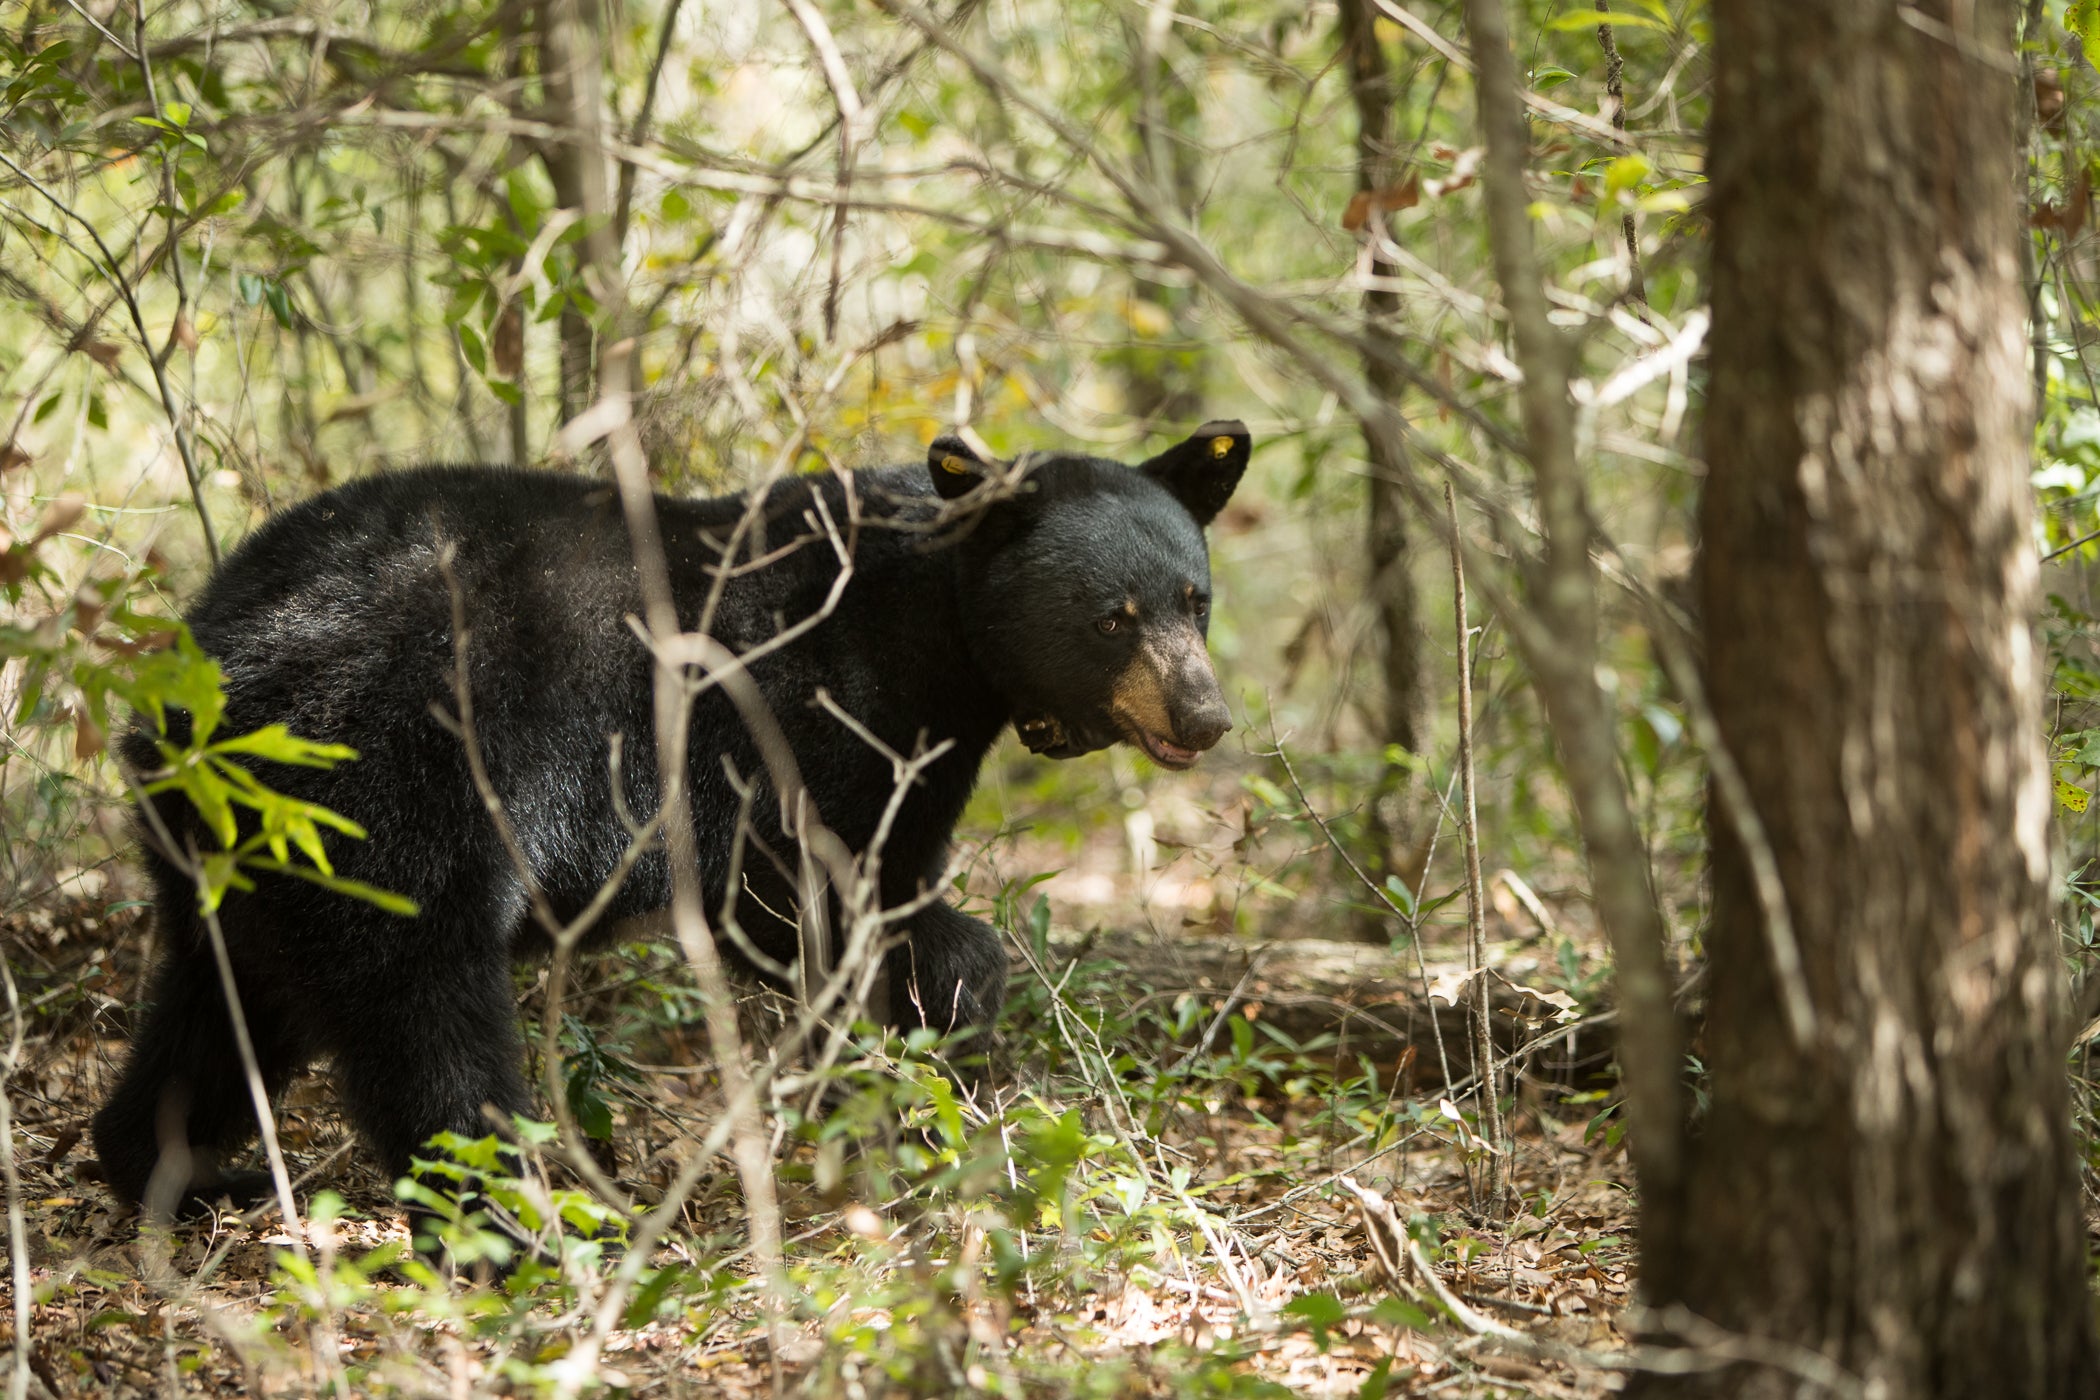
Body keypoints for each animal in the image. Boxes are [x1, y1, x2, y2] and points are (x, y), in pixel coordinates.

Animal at [90, 419, 1243, 1217]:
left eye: (1196, 599)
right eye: (1112, 618)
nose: (1206, 714)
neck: (933, 623)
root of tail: (203, 671)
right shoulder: (815, 725)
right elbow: (820, 903)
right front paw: (919, 1061)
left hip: (228, 847)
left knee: (224, 1003)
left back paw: (177, 1171)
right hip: (379, 792)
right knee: (423, 1014)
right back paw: (512, 1222)